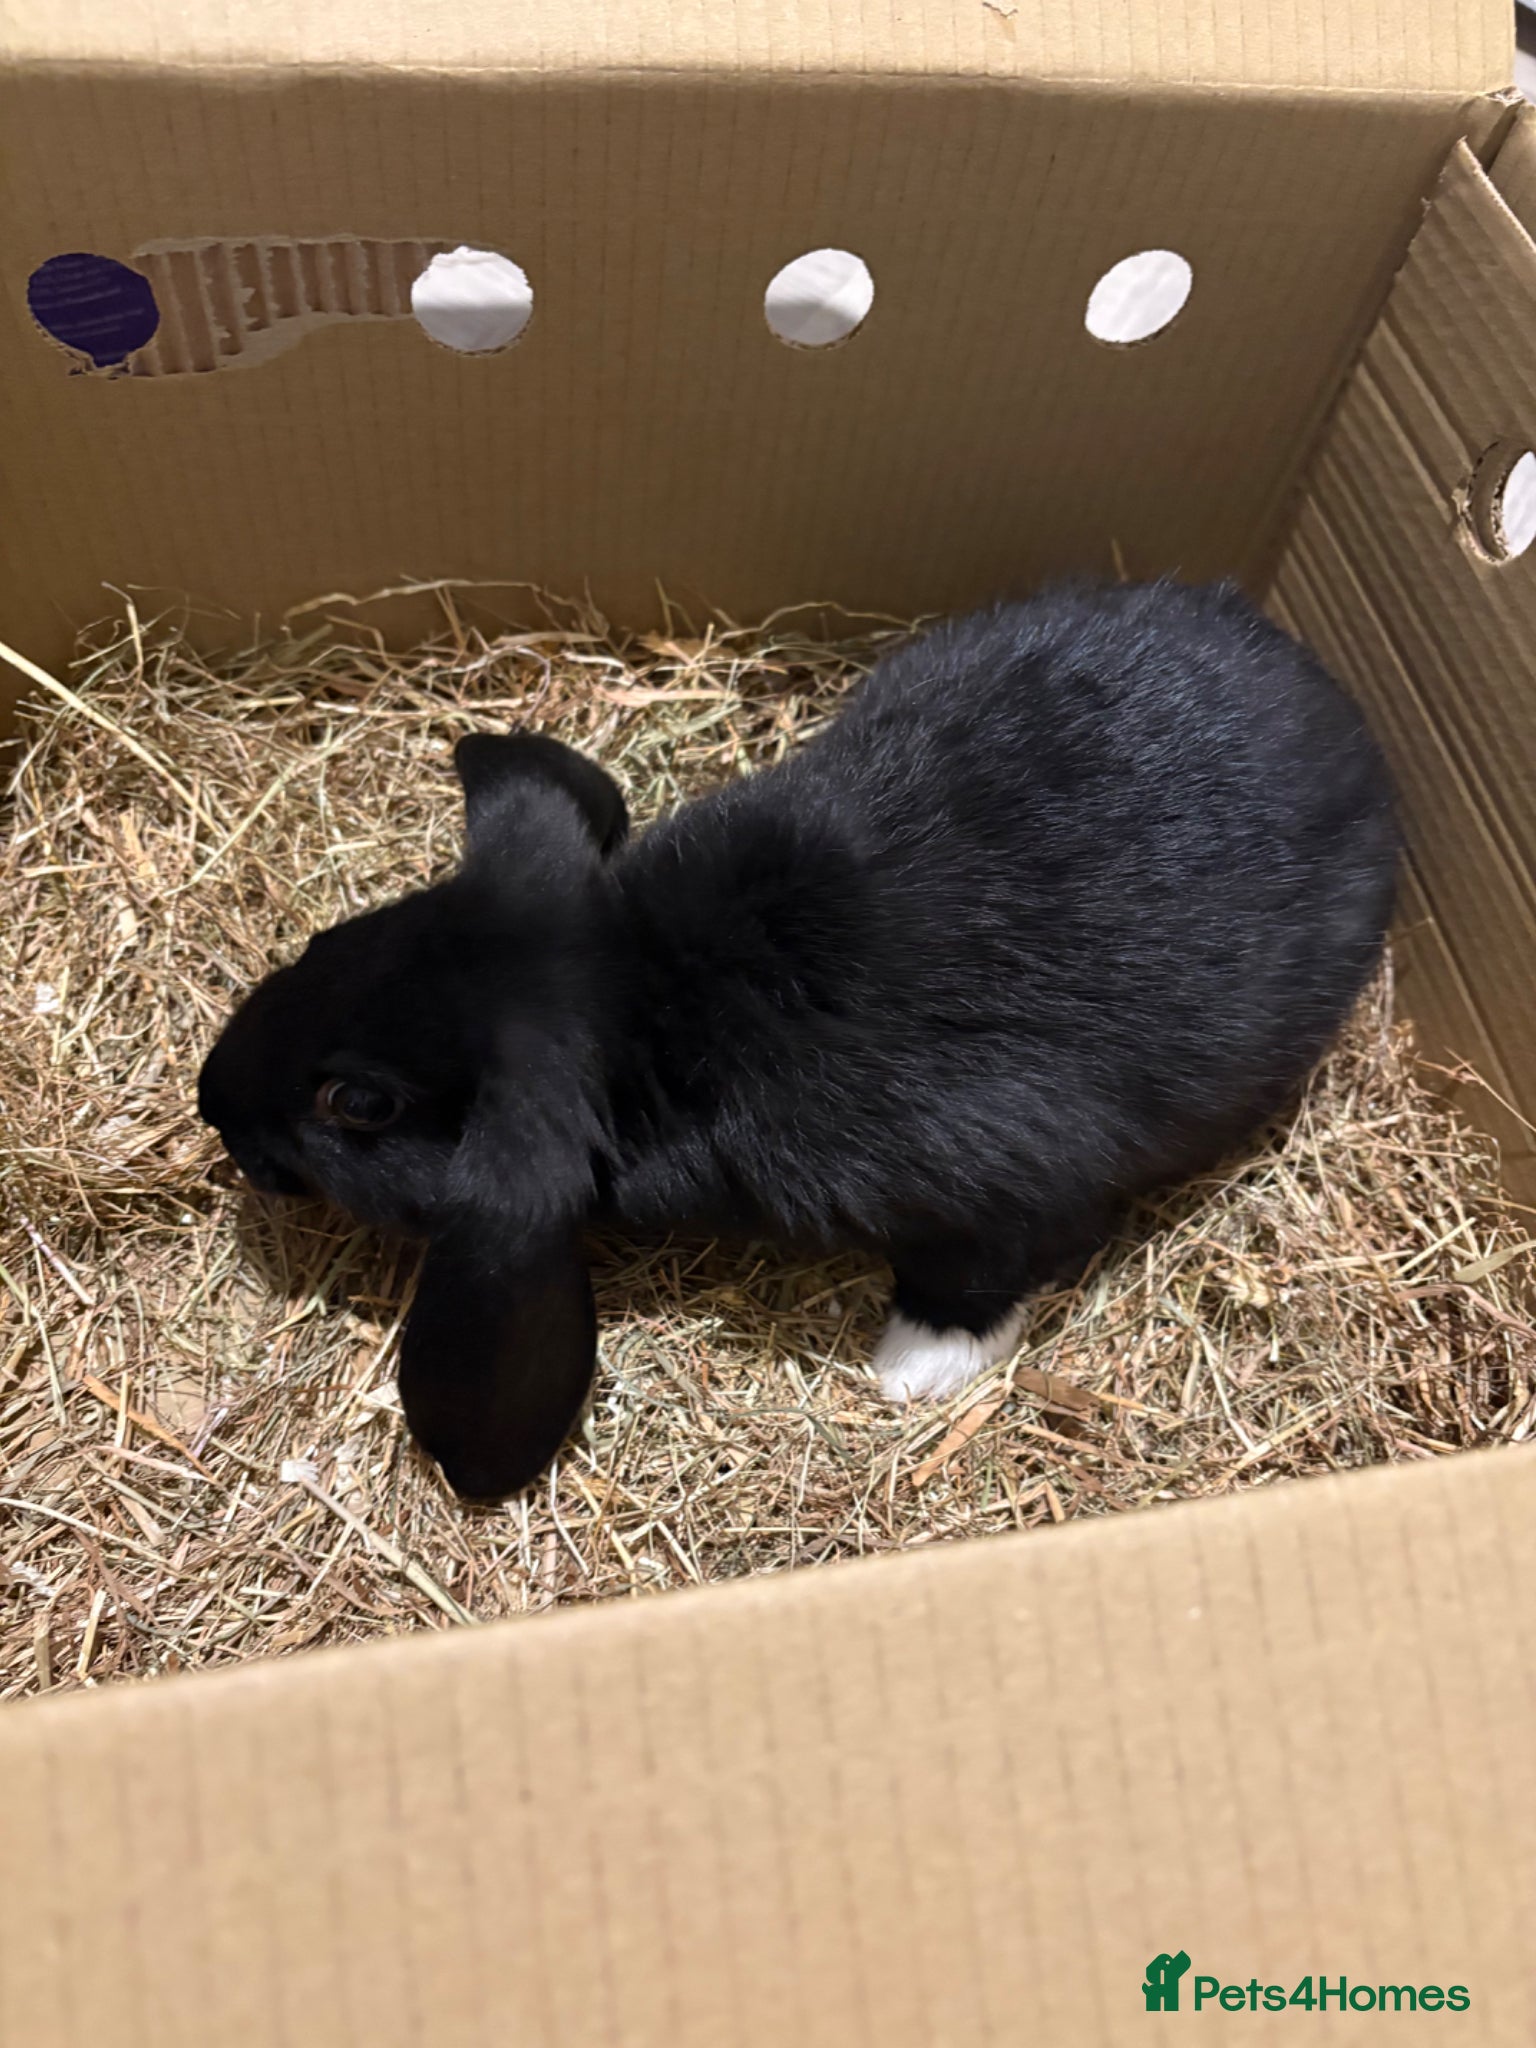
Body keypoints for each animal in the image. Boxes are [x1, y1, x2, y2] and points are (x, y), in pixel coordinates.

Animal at [198, 581, 1397, 1500]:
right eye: (328, 940)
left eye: (356, 1104)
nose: (214, 1103)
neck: (643, 1004)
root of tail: (1347, 723)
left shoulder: (1001, 1184)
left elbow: (983, 1269)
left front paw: (911, 1370)